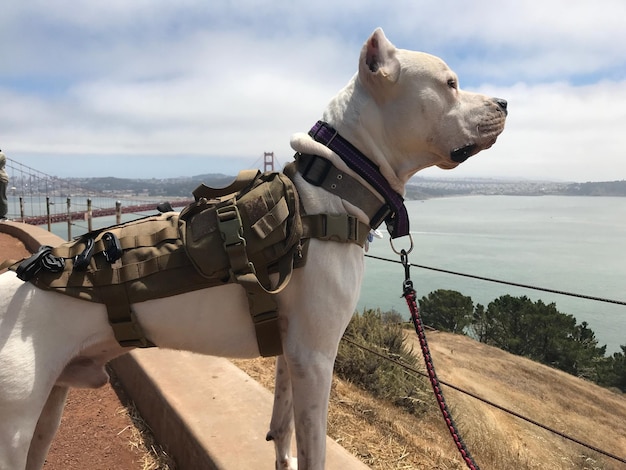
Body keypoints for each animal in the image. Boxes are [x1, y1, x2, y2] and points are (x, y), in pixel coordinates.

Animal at [0, 27, 504, 468]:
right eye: (450, 83)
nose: (504, 101)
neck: (336, 186)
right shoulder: (316, 358)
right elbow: (314, 450)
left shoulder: (291, 352)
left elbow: (282, 427)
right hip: (16, 428)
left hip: (48, 413)